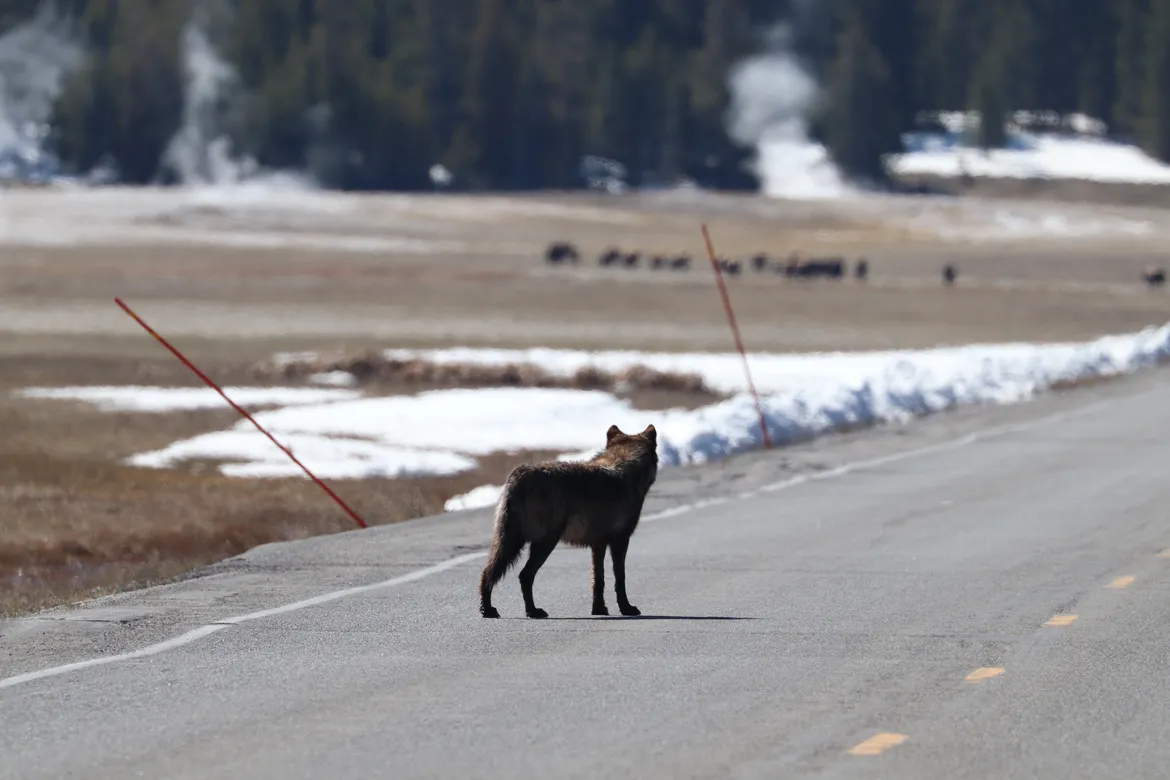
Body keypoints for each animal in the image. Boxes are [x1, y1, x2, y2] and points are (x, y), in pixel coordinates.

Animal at [478, 423, 659, 619]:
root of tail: (519, 474)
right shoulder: (620, 540)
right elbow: (620, 578)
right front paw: (626, 608)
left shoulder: (598, 544)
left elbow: (598, 579)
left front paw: (599, 609)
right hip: (544, 542)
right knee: (524, 575)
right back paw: (532, 611)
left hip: (510, 542)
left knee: (488, 572)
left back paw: (488, 610)